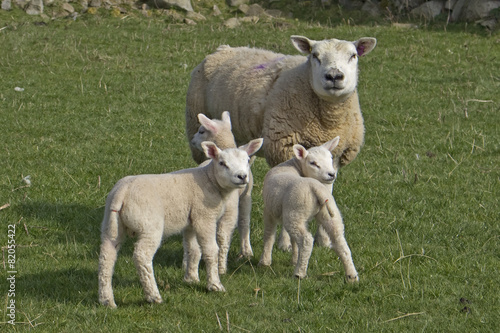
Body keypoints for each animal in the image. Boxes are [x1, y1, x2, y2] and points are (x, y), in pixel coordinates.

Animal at [96, 137, 264, 306]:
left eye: (247, 160)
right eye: (222, 163)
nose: (242, 176)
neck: (209, 179)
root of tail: (121, 193)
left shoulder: (191, 221)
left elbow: (193, 249)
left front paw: (191, 279)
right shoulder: (204, 217)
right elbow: (211, 250)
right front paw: (215, 285)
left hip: (111, 224)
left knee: (107, 257)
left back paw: (107, 300)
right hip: (149, 225)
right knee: (142, 256)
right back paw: (153, 296)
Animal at [186, 34, 376, 169]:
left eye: (353, 55)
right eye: (315, 55)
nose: (334, 76)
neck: (327, 122)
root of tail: (223, 49)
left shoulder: (335, 155)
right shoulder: (283, 148)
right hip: (196, 123)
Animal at [189, 111, 256, 256]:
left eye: (201, 131)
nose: (192, 140)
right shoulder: (245, 196)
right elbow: (244, 221)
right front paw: (246, 250)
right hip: (229, 211)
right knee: (223, 235)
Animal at [258, 137, 360, 280]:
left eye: (331, 158)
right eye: (313, 163)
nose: (331, 174)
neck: (294, 166)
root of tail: (316, 188)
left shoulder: (269, 211)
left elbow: (269, 235)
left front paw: (265, 262)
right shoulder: (300, 218)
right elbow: (293, 240)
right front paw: (294, 259)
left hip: (295, 213)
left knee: (306, 240)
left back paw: (299, 273)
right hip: (325, 213)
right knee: (340, 241)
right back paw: (351, 275)